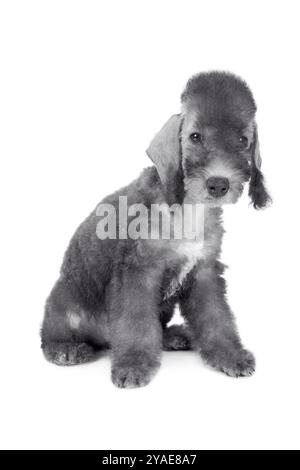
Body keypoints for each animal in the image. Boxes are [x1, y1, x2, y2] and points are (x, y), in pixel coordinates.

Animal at [41, 70, 270, 386]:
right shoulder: (138, 272)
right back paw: (66, 349)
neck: (188, 208)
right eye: (195, 136)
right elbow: (137, 324)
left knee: (157, 330)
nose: (218, 184)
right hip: (66, 303)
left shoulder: (204, 273)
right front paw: (133, 364)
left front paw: (230, 355)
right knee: (51, 334)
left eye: (242, 139)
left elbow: (217, 319)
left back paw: (174, 336)